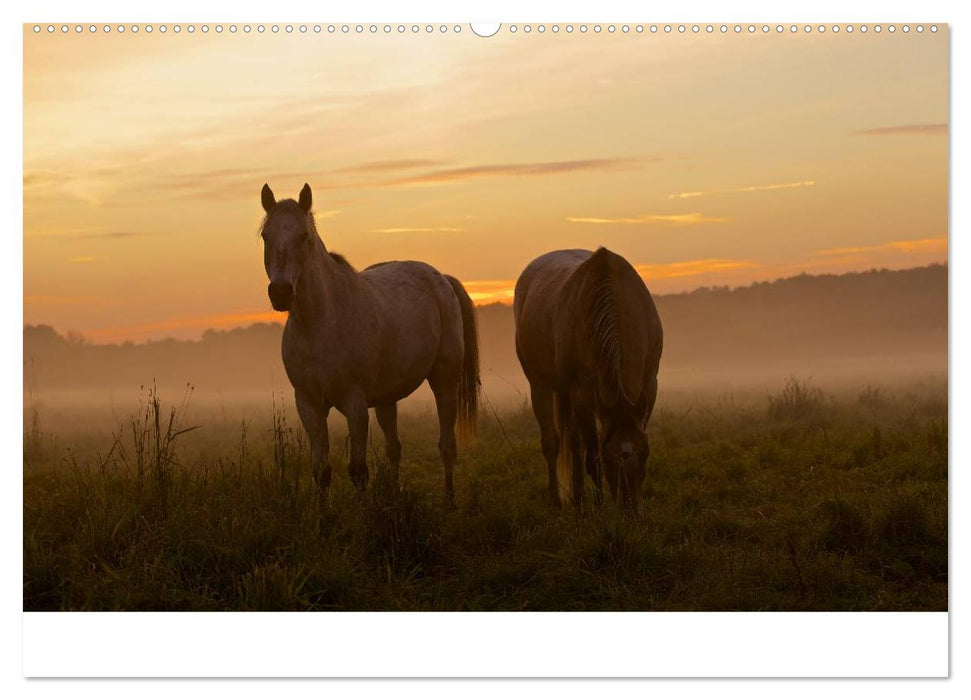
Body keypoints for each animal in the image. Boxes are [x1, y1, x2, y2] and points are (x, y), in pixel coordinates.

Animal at [258, 185, 478, 504]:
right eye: (266, 236)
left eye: (303, 236)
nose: (281, 292)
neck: (319, 324)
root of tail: (441, 279)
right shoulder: (309, 404)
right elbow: (321, 470)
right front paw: (323, 516)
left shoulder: (355, 403)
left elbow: (358, 471)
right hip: (387, 398)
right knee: (394, 448)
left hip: (445, 382)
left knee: (446, 445)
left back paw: (449, 501)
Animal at [512, 249, 664, 512]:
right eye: (609, 457)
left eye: (644, 453)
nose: (631, 509)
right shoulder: (582, 392)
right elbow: (592, 456)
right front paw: (600, 507)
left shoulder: (648, 383)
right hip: (540, 386)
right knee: (553, 442)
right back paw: (560, 502)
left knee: (573, 441)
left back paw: (578, 498)